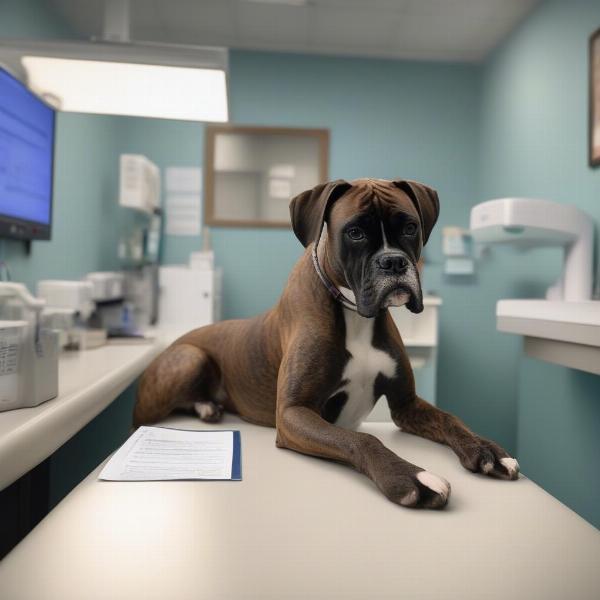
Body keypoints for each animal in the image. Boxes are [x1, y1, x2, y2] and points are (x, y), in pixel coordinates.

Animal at [134, 177, 516, 506]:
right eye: (355, 232)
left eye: (410, 227)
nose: (393, 261)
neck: (354, 313)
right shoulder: (293, 413)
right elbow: (362, 437)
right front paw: (411, 477)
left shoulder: (406, 404)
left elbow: (450, 419)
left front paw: (486, 449)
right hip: (189, 358)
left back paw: (207, 407)